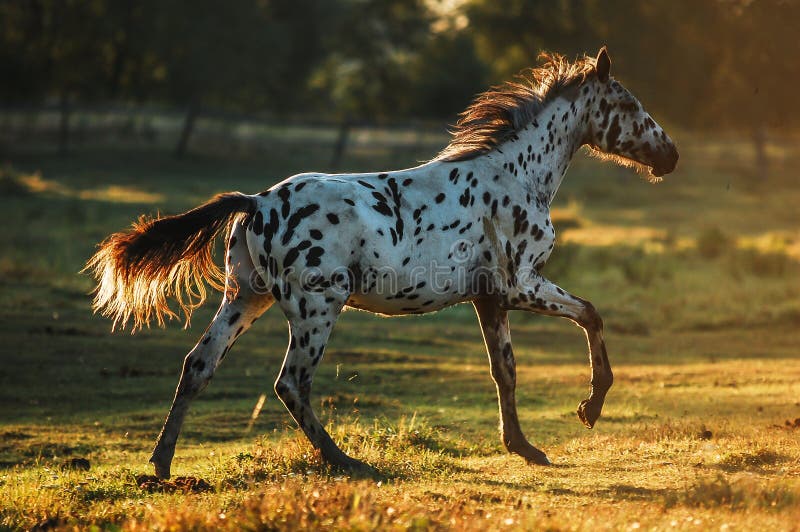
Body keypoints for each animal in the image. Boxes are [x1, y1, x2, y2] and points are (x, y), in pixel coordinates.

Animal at [86, 46, 676, 478]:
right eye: (629, 105)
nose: (670, 155)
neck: (517, 175)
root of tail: (255, 203)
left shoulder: (489, 298)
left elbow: (504, 370)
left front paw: (524, 447)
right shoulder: (521, 285)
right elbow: (591, 313)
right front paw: (590, 408)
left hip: (245, 297)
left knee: (198, 365)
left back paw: (161, 464)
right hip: (317, 306)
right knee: (291, 382)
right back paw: (349, 463)